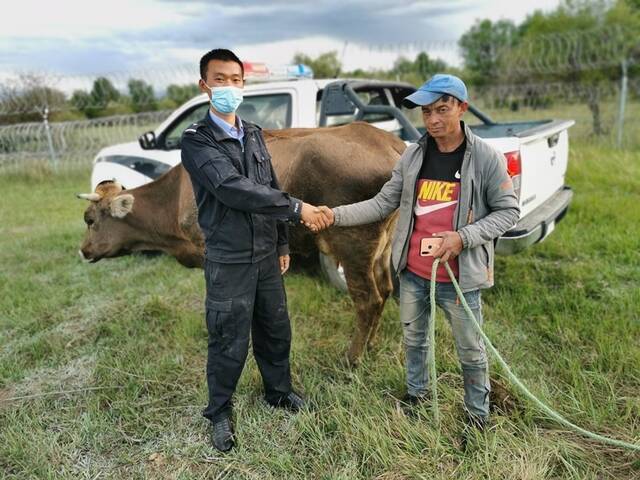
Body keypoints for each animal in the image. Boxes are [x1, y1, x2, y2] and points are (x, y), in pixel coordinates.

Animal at [76, 123, 404, 364]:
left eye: (89, 219)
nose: (83, 250)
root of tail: (389, 142)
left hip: (353, 245)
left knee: (368, 300)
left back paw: (353, 358)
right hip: (382, 246)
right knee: (386, 290)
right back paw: (371, 345)